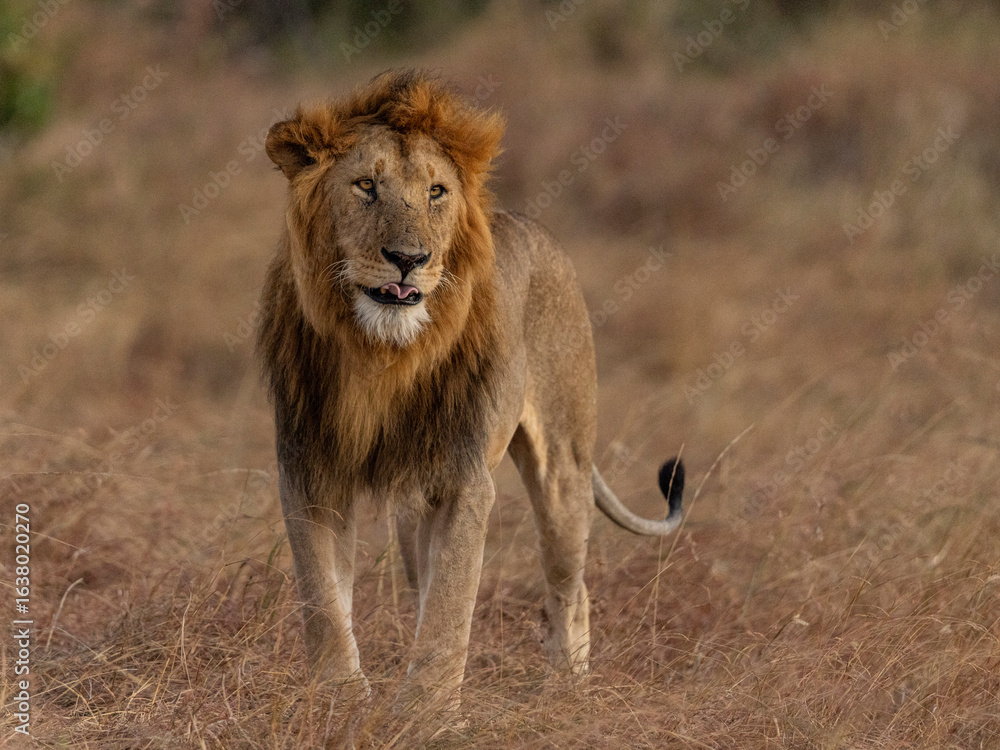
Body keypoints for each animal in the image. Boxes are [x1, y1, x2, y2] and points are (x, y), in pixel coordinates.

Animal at [256, 69, 685, 709]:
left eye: (436, 192)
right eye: (365, 186)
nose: (409, 259)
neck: (379, 353)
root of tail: (532, 226)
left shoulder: (462, 480)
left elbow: (450, 608)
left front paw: (425, 712)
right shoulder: (311, 471)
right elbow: (323, 601)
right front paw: (340, 698)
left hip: (563, 470)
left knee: (570, 587)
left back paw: (565, 689)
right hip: (412, 514)